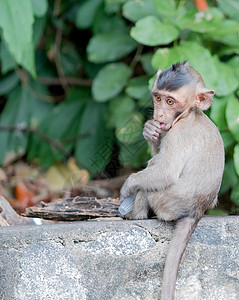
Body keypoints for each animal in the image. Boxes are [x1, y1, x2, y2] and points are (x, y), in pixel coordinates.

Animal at [120, 61, 225, 300]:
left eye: (170, 101)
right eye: (158, 97)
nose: (159, 113)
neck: (189, 115)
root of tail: (198, 210)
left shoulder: (178, 134)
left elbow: (165, 171)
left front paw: (127, 187)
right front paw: (150, 131)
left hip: (167, 202)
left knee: (150, 184)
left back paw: (136, 214)